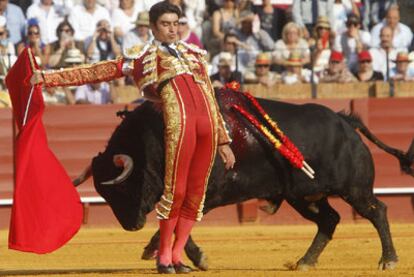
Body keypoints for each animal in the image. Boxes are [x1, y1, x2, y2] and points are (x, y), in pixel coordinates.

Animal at [88, 88, 414, 270]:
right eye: (107, 195)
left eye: (123, 189)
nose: (131, 225)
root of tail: (346, 121)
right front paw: (157, 250)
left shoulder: (205, 194)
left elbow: (180, 225)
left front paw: (189, 257)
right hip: (303, 196)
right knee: (329, 220)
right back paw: (305, 262)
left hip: (354, 189)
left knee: (376, 211)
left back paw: (388, 260)